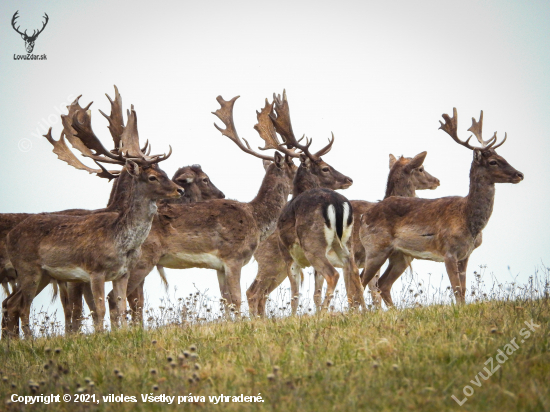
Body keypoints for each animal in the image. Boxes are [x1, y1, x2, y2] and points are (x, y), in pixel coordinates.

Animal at [2, 88, 183, 336]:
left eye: (164, 171)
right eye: (153, 177)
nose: (179, 189)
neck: (123, 242)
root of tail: (11, 235)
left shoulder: (122, 273)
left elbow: (120, 306)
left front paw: (121, 334)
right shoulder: (94, 271)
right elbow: (99, 309)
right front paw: (101, 336)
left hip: (45, 274)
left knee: (12, 302)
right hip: (28, 269)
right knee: (20, 305)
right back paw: (27, 340)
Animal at [248, 151, 442, 316]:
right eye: (421, 168)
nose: (436, 181)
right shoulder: (365, 254)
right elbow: (366, 290)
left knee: (262, 294)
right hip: (273, 263)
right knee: (254, 292)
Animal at [362, 109, 528, 306]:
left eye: (503, 157)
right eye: (493, 161)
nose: (519, 174)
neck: (468, 218)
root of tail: (364, 216)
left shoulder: (465, 255)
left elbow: (463, 290)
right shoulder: (448, 251)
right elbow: (456, 290)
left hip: (400, 254)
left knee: (382, 283)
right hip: (375, 247)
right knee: (361, 280)